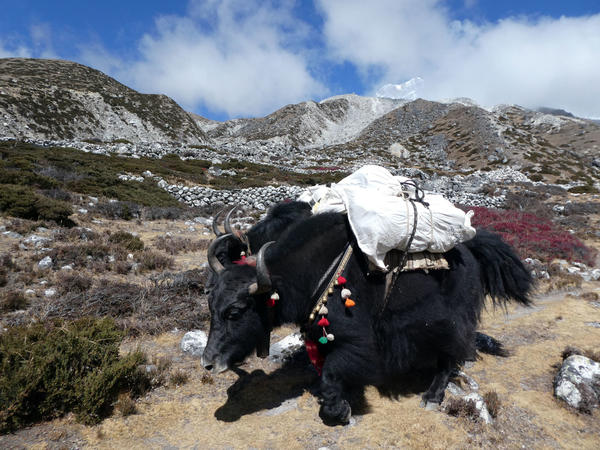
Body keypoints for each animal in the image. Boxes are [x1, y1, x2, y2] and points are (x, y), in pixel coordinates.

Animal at [203, 210, 533, 424]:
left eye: (235, 311)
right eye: (211, 304)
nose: (208, 362)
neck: (305, 274)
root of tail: (472, 249)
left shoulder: (357, 337)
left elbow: (332, 372)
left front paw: (339, 410)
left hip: (453, 318)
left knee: (452, 353)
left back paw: (432, 395)